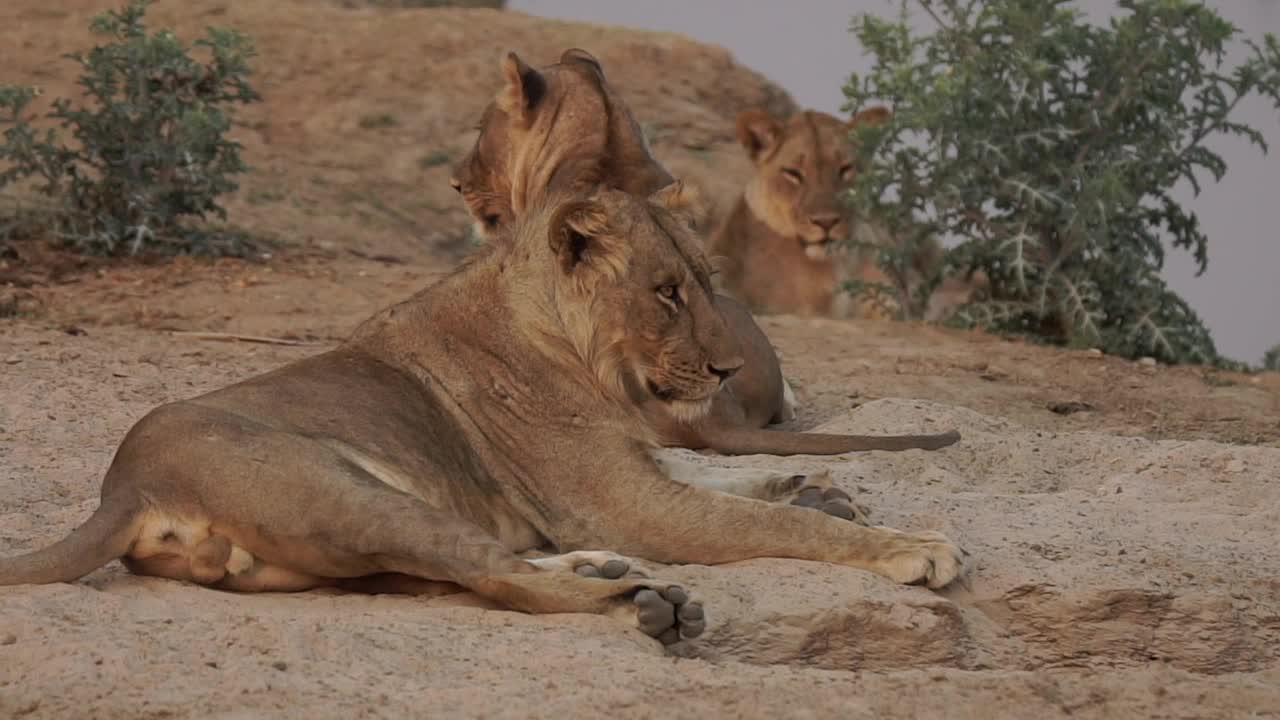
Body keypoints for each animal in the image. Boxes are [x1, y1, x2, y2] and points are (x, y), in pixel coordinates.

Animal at [0, 185, 962, 645]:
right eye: (666, 292)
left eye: (707, 282)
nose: (729, 368)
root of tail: (124, 485)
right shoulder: (624, 501)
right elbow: (761, 520)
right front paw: (911, 544)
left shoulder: (632, 481)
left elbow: (741, 487)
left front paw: (821, 489)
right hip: (345, 496)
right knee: (499, 578)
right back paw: (646, 604)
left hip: (328, 552)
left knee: (472, 569)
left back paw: (604, 573)